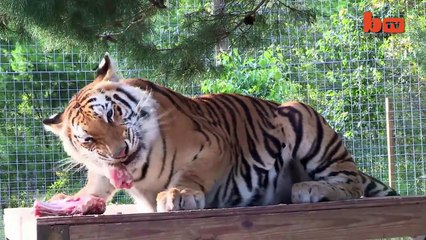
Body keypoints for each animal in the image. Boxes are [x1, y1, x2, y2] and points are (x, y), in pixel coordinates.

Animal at [41, 53, 398, 213]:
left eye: (112, 114)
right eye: (88, 139)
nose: (120, 153)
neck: (139, 170)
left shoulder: (214, 145)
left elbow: (191, 172)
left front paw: (179, 194)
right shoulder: (105, 171)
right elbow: (98, 182)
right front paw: (73, 199)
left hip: (300, 116)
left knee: (351, 183)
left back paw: (310, 188)